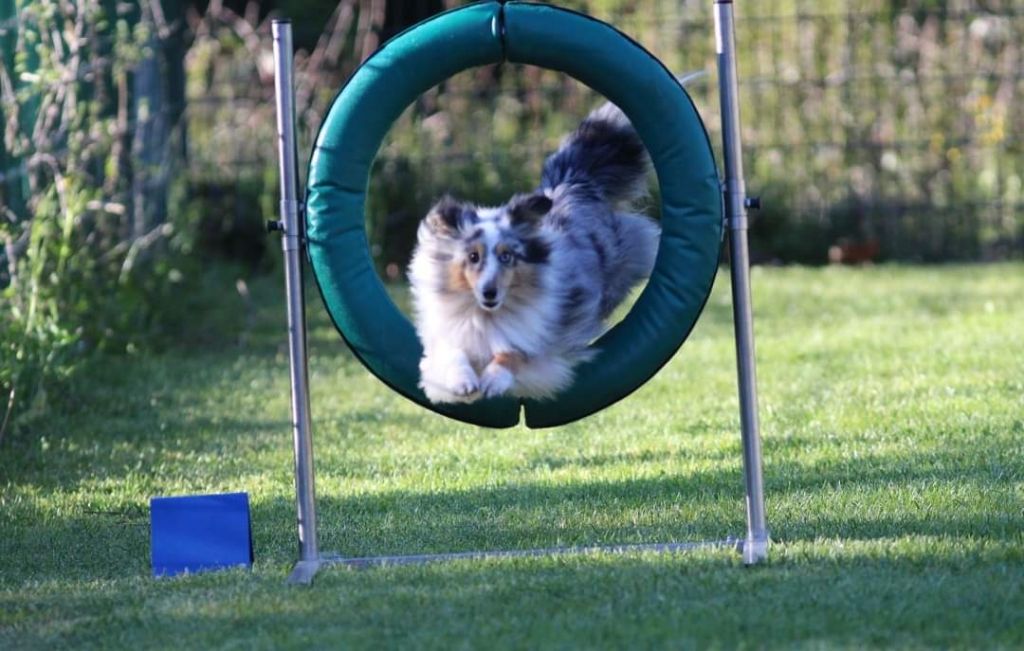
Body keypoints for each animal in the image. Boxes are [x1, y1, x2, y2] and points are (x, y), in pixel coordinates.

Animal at [403, 101, 659, 401]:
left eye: (507, 257)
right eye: (473, 257)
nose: (489, 292)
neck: (487, 316)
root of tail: (570, 185)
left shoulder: (546, 339)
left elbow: (515, 353)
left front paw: (493, 380)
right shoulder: (447, 333)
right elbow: (451, 353)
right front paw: (462, 382)